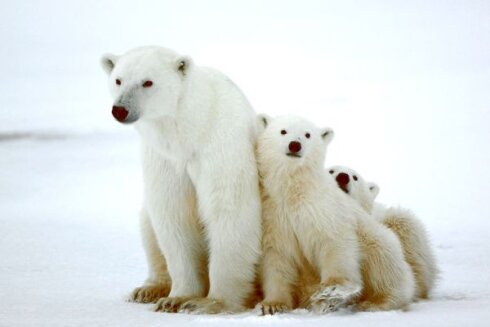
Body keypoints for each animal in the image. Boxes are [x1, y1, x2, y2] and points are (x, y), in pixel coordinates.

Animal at [100, 46, 264, 316]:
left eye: (148, 82)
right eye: (118, 80)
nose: (120, 110)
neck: (191, 130)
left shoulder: (221, 146)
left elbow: (229, 211)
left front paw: (211, 303)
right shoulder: (165, 159)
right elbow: (174, 215)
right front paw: (176, 298)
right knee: (148, 224)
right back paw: (148, 289)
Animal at [258, 116, 416, 316]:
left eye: (307, 134)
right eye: (283, 131)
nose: (294, 145)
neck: (295, 191)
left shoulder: (324, 209)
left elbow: (334, 242)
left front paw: (330, 290)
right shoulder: (275, 216)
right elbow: (277, 257)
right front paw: (272, 305)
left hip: (378, 240)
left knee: (383, 264)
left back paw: (374, 302)